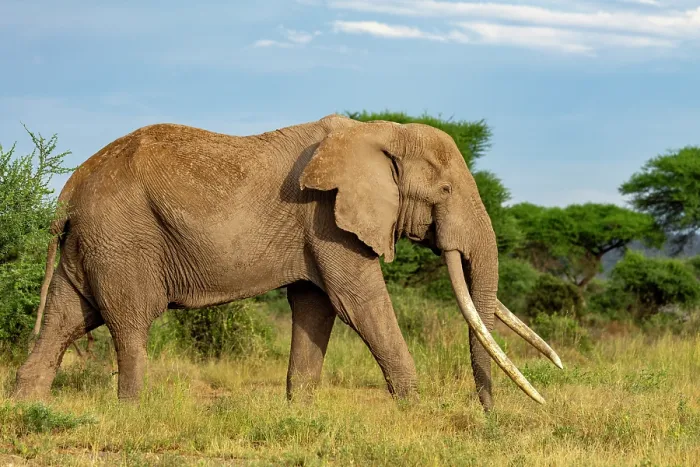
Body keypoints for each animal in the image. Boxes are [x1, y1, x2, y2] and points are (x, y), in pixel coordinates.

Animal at [13, 114, 562, 412]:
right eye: (444, 192)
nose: (488, 415)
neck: (381, 133)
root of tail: (68, 190)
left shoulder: (317, 227)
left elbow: (316, 308)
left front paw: (300, 414)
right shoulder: (327, 218)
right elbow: (359, 302)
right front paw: (416, 412)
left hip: (92, 242)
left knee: (64, 320)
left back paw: (28, 408)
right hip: (122, 238)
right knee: (130, 324)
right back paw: (132, 412)